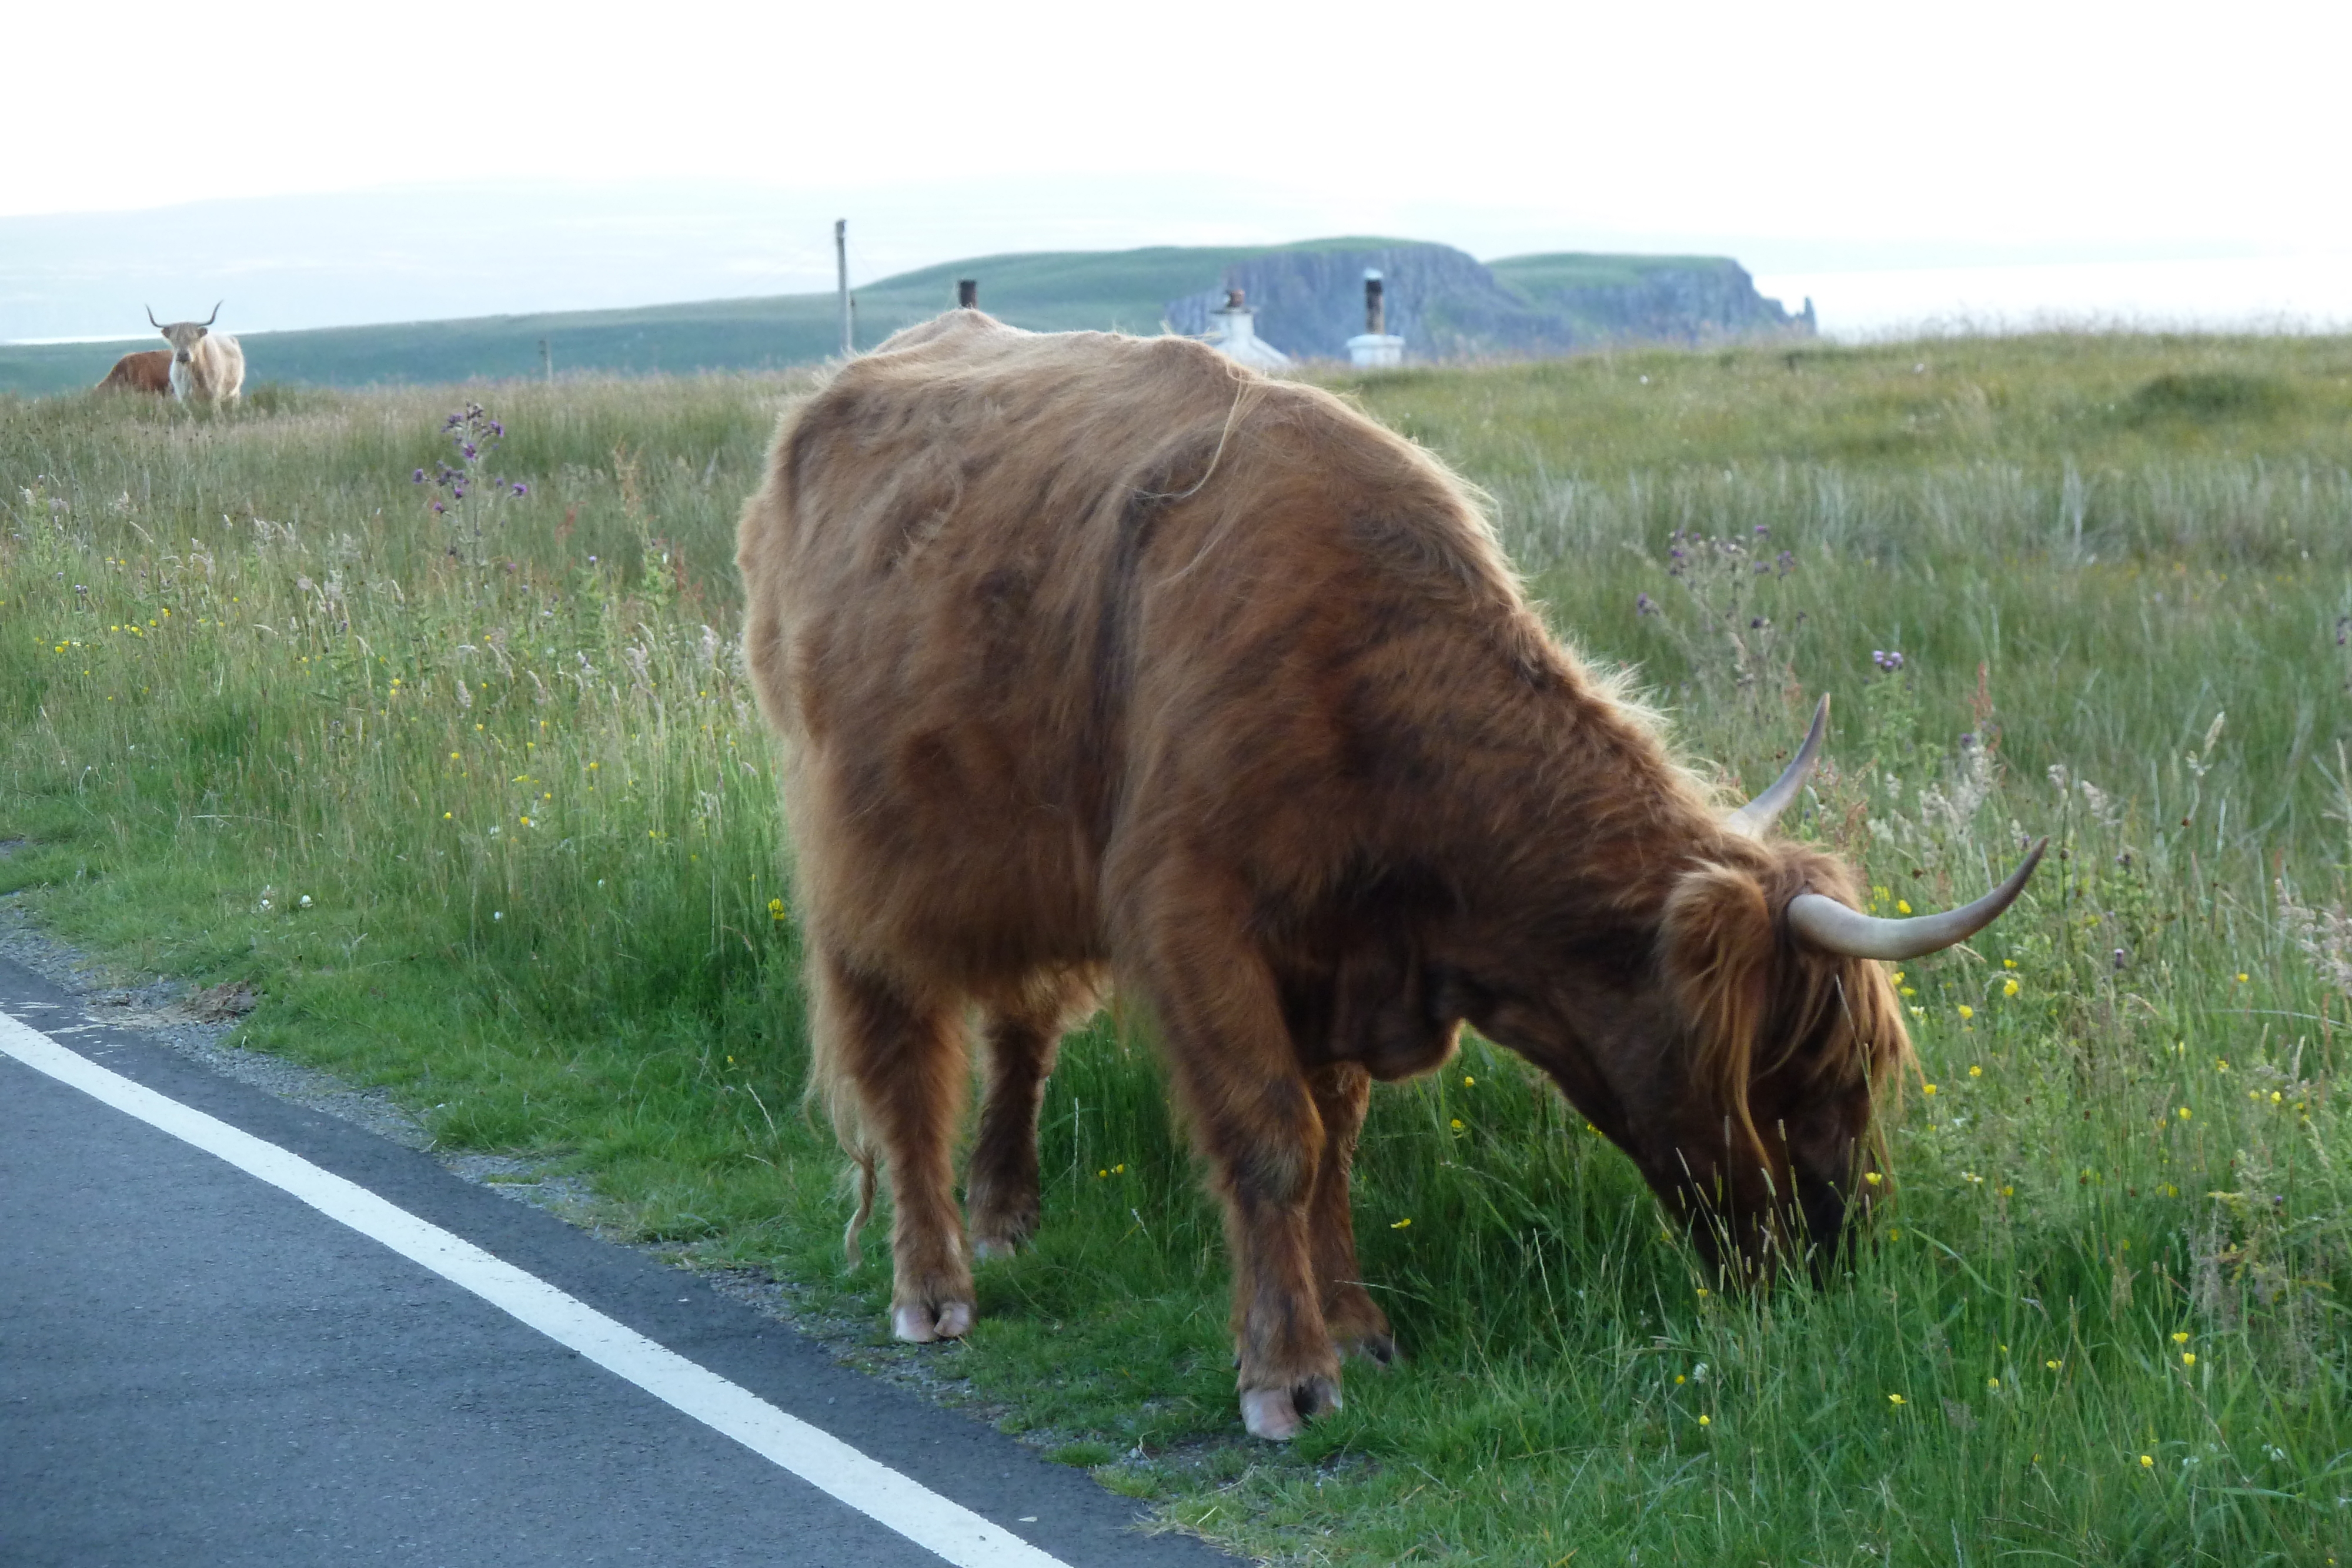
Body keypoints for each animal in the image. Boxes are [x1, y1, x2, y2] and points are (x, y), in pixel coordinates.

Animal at [146, 305, 242, 404]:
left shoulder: (214, 396)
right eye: (173, 340)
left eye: (194, 339)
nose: (183, 355)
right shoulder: (183, 397)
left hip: (235, 393)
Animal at [734, 312, 2042, 1439]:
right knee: (901, 1061)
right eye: (1786, 1063)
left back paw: (1009, 1214)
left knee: (1026, 1022)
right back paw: (934, 1282)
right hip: (868, 860)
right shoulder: (1190, 913)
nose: (1835, 1262)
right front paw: (1289, 1373)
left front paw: (1358, 1324)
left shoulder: (1334, 955)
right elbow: (1275, 1136)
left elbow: (1336, 1141)